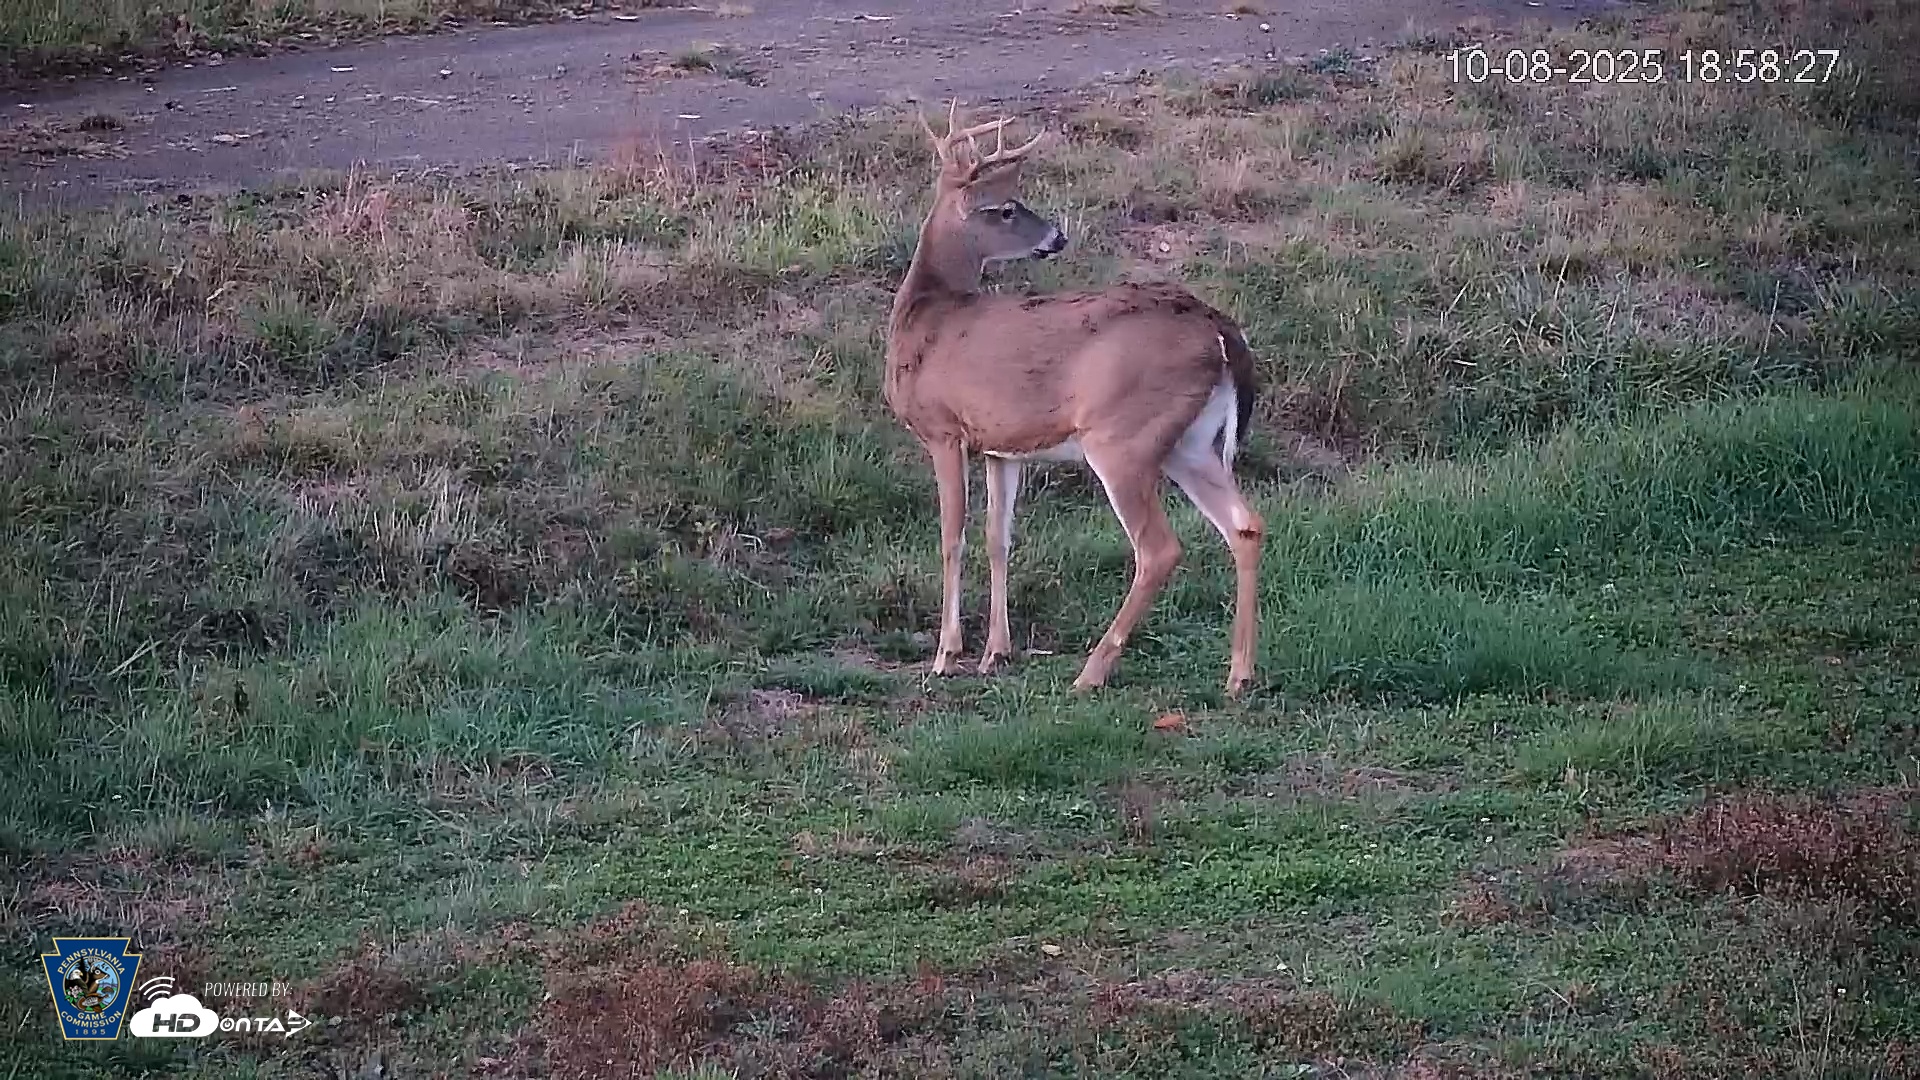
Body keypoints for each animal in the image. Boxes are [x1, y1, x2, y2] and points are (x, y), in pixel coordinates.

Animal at [882, 101, 1267, 697]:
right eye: (1007, 209)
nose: (1058, 237)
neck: (929, 315)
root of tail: (1222, 332)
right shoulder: (1000, 446)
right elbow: (998, 537)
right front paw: (995, 652)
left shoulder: (943, 429)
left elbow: (952, 537)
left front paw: (947, 654)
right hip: (1191, 441)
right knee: (1246, 526)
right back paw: (1238, 675)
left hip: (1122, 437)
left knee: (1159, 549)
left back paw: (1092, 671)